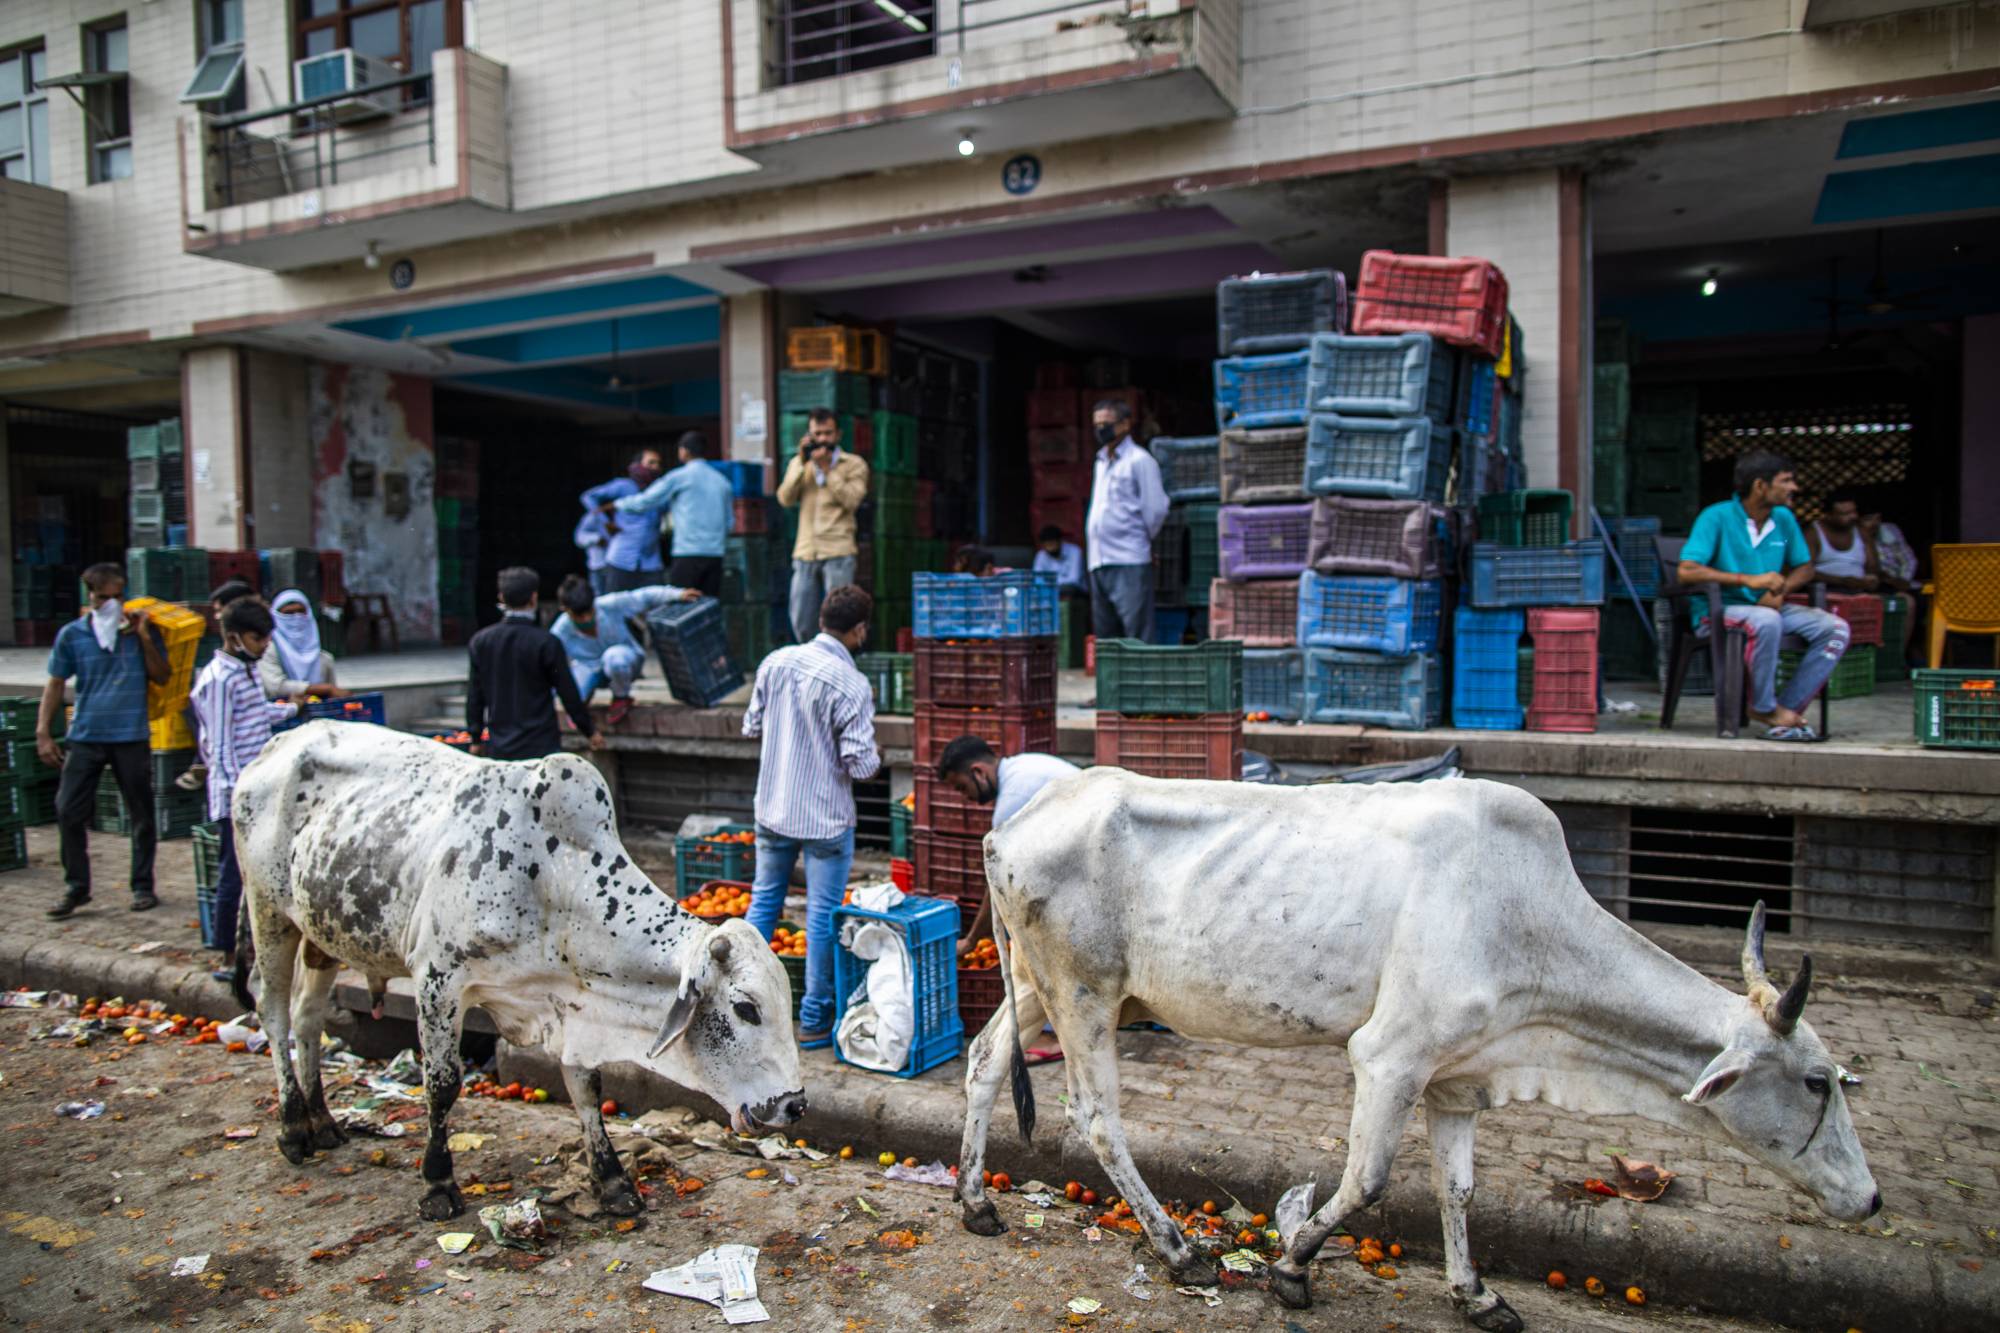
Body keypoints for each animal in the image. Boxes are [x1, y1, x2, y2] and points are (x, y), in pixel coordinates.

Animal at [229, 720, 804, 1216]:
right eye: (747, 1008)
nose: (794, 1106)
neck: (552, 877)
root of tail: (278, 741)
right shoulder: (437, 981)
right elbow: (442, 1085)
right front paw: (438, 1183)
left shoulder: (569, 1002)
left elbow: (586, 1086)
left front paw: (612, 1181)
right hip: (267, 911)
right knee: (273, 1014)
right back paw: (293, 1129)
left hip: (319, 934)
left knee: (307, 1019)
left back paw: (324, 1121)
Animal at [960, 768, 1880, 1328]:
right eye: (1816, 1081)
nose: (1871, 1200)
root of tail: (1010, 826)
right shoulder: (1390, 1056)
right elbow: (1367, 1180)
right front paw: (1293, 1266)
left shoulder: (1455, 1078)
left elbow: (1460, 1189)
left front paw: (1474, 1293)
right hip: (1085, 994)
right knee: (1097, 1115)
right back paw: (1180, 1249)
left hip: (1038, 987)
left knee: (982, 1061)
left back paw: (976, 1203)